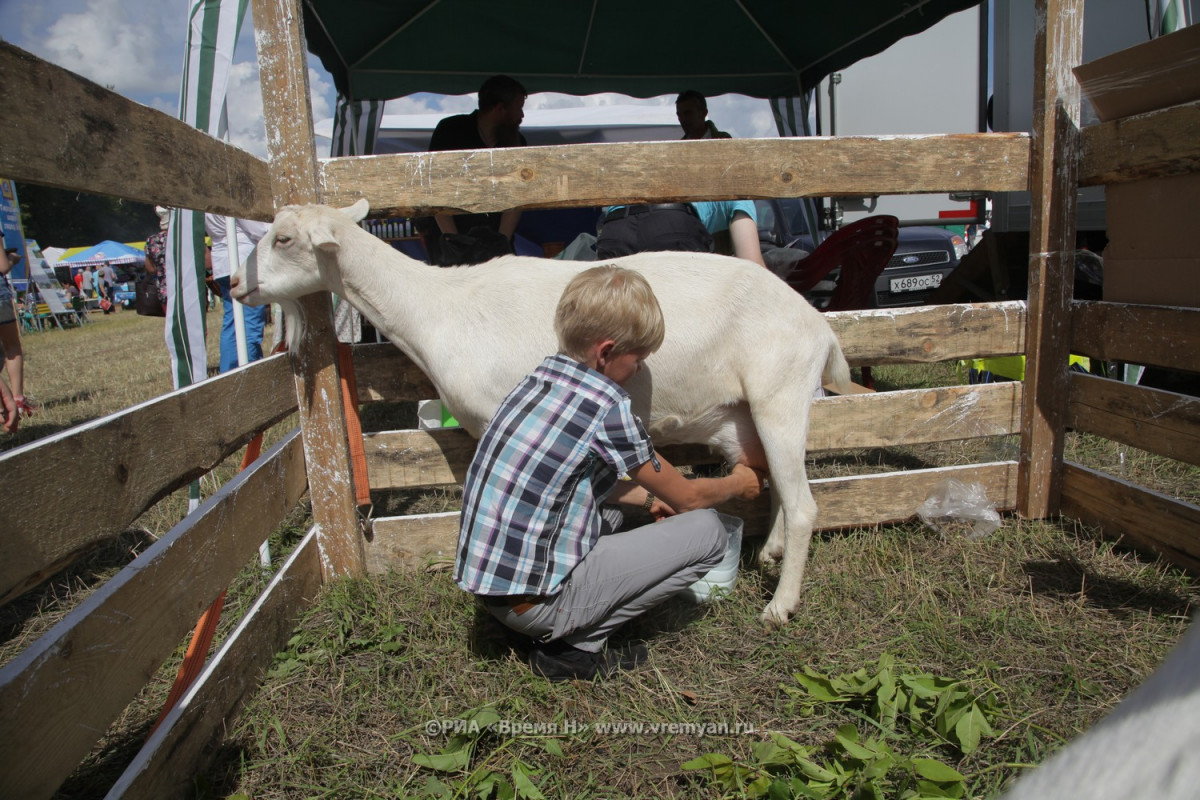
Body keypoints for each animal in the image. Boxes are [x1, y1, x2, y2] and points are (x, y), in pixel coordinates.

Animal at [231, 200, 854, 623]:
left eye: (283, 238)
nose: (234, 283)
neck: (435, 307)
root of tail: (820, 328)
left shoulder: (494, 416)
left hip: (781, 393)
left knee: (805, 505)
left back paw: (780, 606)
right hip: (744, 414)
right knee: (778, 482)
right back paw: (770, 553)